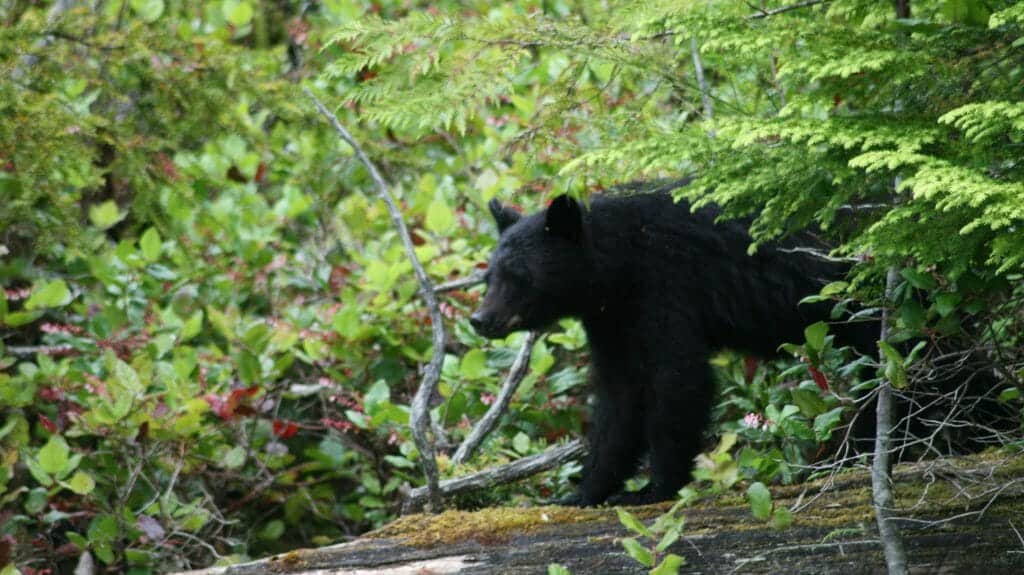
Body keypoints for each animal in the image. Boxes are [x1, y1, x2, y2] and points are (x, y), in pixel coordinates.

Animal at [470, 179, 877, 506]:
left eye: (519, 277)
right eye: (489, 277)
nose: (480, 319)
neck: (619, 267)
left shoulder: (667, 288)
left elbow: (676, 379)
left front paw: (653, 489)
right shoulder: (612, 320)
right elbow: (619, 397)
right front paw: (583, 493)